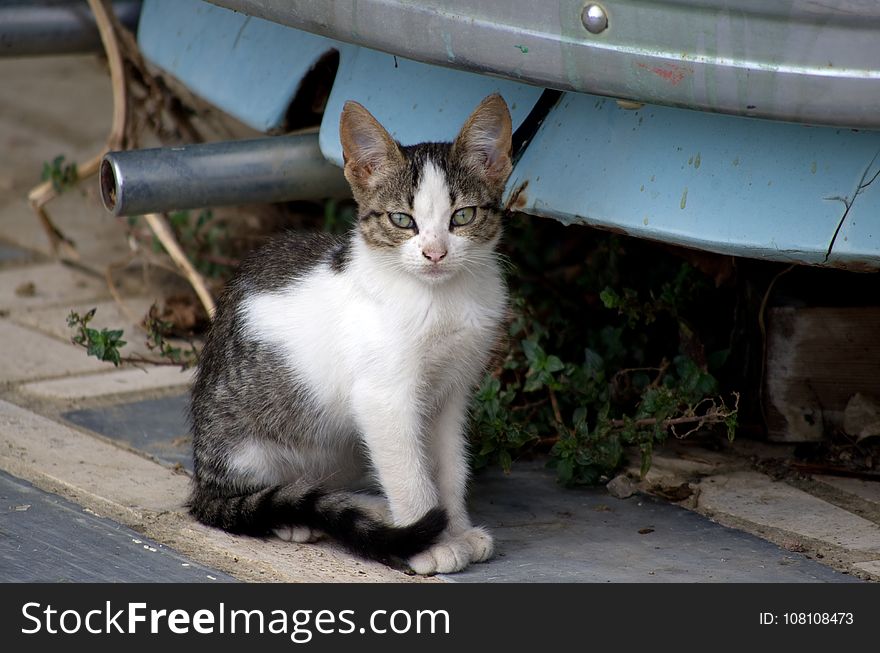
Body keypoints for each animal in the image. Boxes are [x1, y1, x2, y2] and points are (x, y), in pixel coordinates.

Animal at [189, 94, 512, 572]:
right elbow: (408, 472)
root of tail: (202, 480)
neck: (440, 299)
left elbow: (450, 466)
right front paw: (427, 542)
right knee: (262, 496)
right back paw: (298, 518)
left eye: (464, 216)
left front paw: (455, 528)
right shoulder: (384, 397)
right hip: (249, 449)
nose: (435, 253)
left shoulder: (451, 393)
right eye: (402, 220)